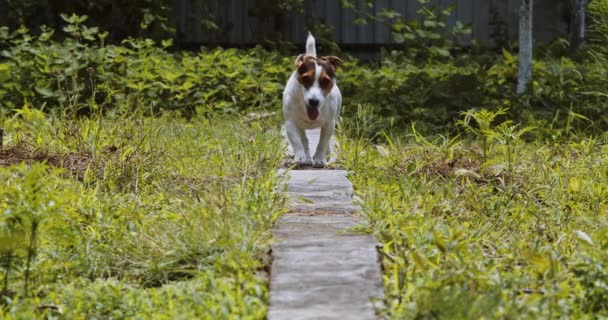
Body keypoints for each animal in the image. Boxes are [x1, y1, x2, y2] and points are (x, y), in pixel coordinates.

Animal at [284, 32, 344, 168]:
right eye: (306, 78)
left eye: (326, 81)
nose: (314, 102)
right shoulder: (290, 122)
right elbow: (297, 141)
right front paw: (301, 157)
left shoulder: (329, 124)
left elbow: (323, 142)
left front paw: (319, 159)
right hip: (299, 125)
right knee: (304, 139)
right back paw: (306, 157)